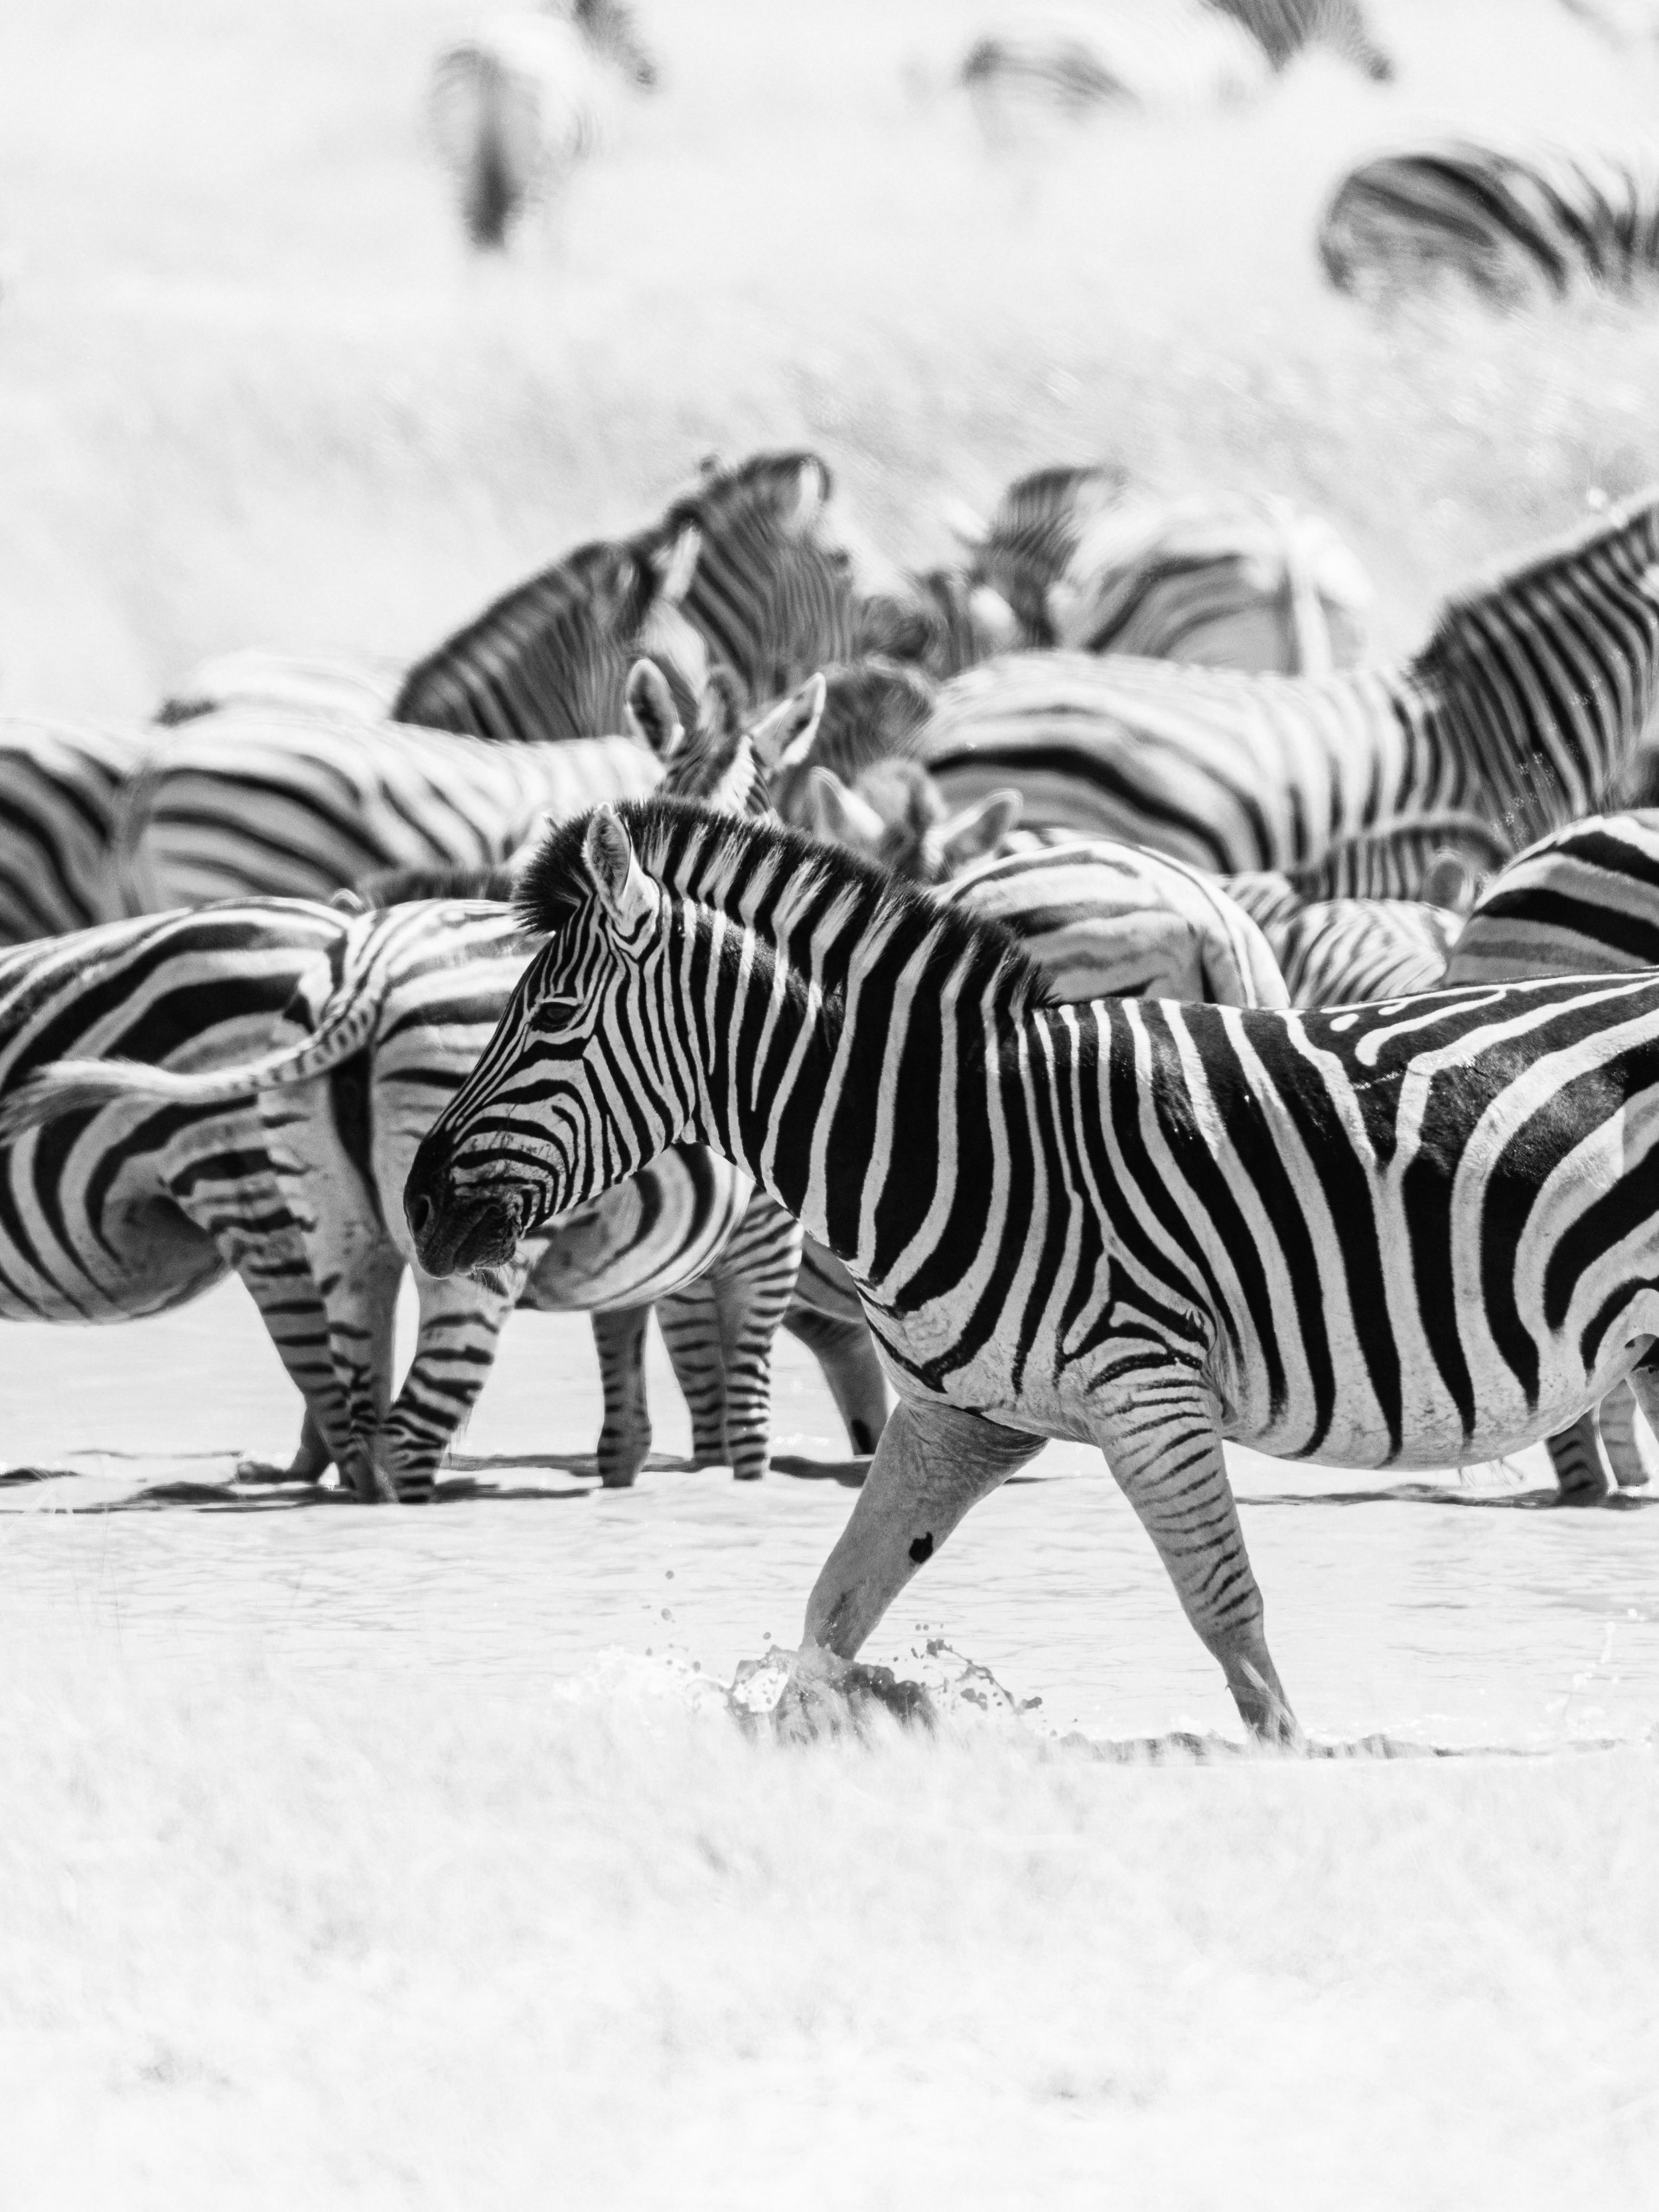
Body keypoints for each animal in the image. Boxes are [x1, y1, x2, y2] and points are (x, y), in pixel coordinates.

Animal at [405, 799, 1659, 1740]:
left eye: (553, 1017)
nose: (418, 1204)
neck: (960, 1139)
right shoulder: (957, 1419)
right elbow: (830, 1612)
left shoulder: (1148, 1388)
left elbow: (1228, 1616)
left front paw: (1288, 1763)